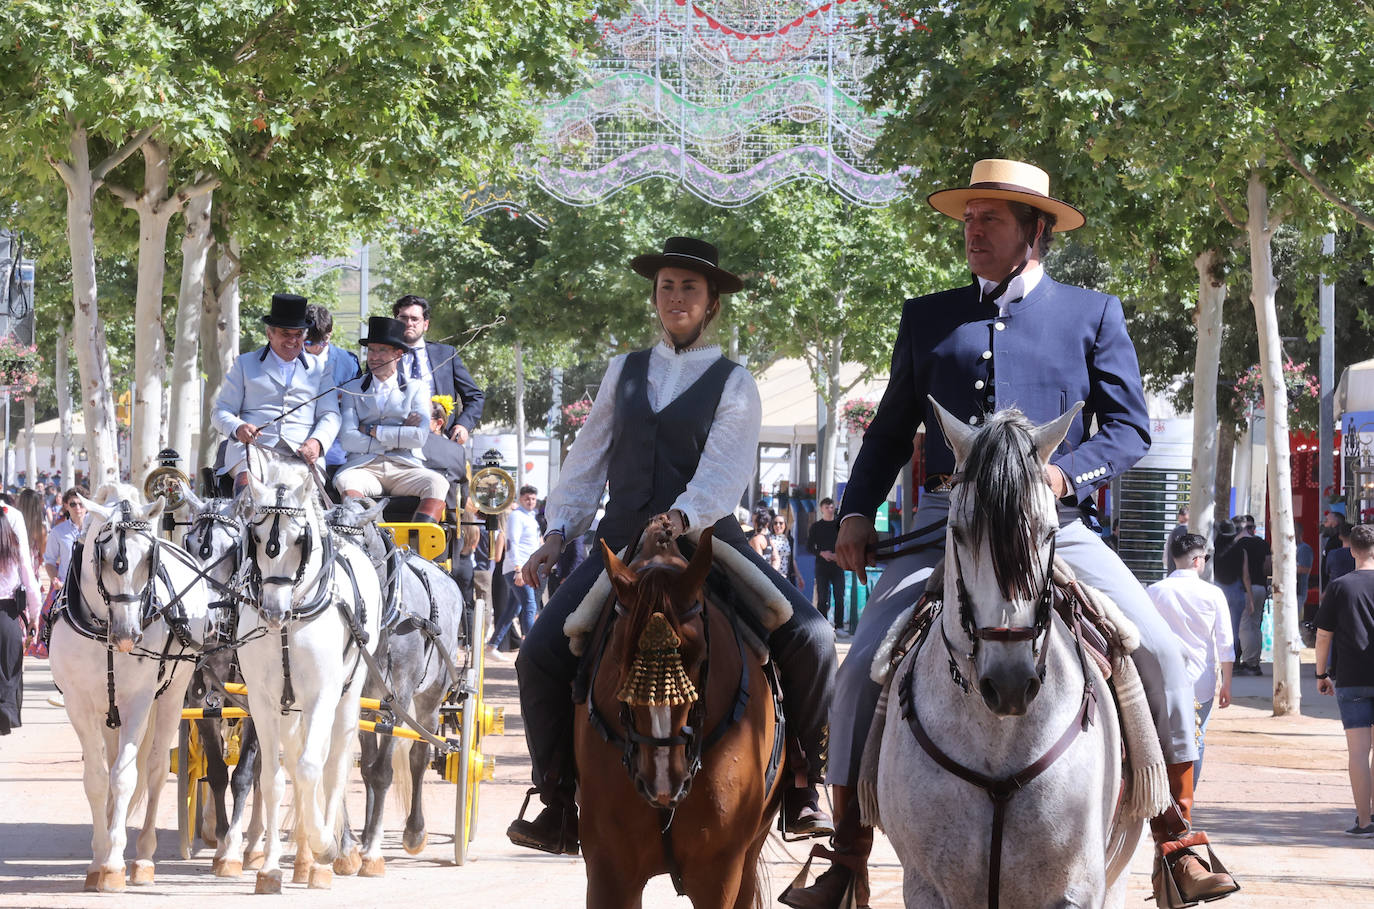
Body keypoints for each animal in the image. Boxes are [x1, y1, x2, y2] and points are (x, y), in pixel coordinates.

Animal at [48, 488, 210, 895]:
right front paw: (99, 858)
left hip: (173, 693)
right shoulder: (79, 705)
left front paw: (114, 864)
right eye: (103, 557)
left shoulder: (139, 701)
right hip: (110, 714)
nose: (128, 634)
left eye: (149, 558)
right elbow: (96, 779)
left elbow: (125, 776)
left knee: (155, 769)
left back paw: (143, 858)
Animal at [239, 458, 381, 895]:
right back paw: (301, 860)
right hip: (291, 710)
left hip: (346, 698)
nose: (272, 611)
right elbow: (273, 780)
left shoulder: (323, 695)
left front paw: (324, 846)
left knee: (331, 766)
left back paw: (324, 858)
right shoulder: (263, 702)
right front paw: (270, 868)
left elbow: (310, 769)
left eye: (299, 540)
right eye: (255, 536)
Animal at [327, 499, 467, 878]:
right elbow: (349, 767)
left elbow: (383, 772)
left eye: (357, 547)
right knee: (368, 763)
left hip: (429, 698)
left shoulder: (398, 698)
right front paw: (348, 849)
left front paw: (373, 852)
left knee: (418, 757)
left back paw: (414, 832)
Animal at [873, 406, 1143, 909]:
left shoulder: (1078, 888)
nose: (1010, 685)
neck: (996, 738)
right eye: (957, 533)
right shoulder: (925, 887)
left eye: (1049, 532)